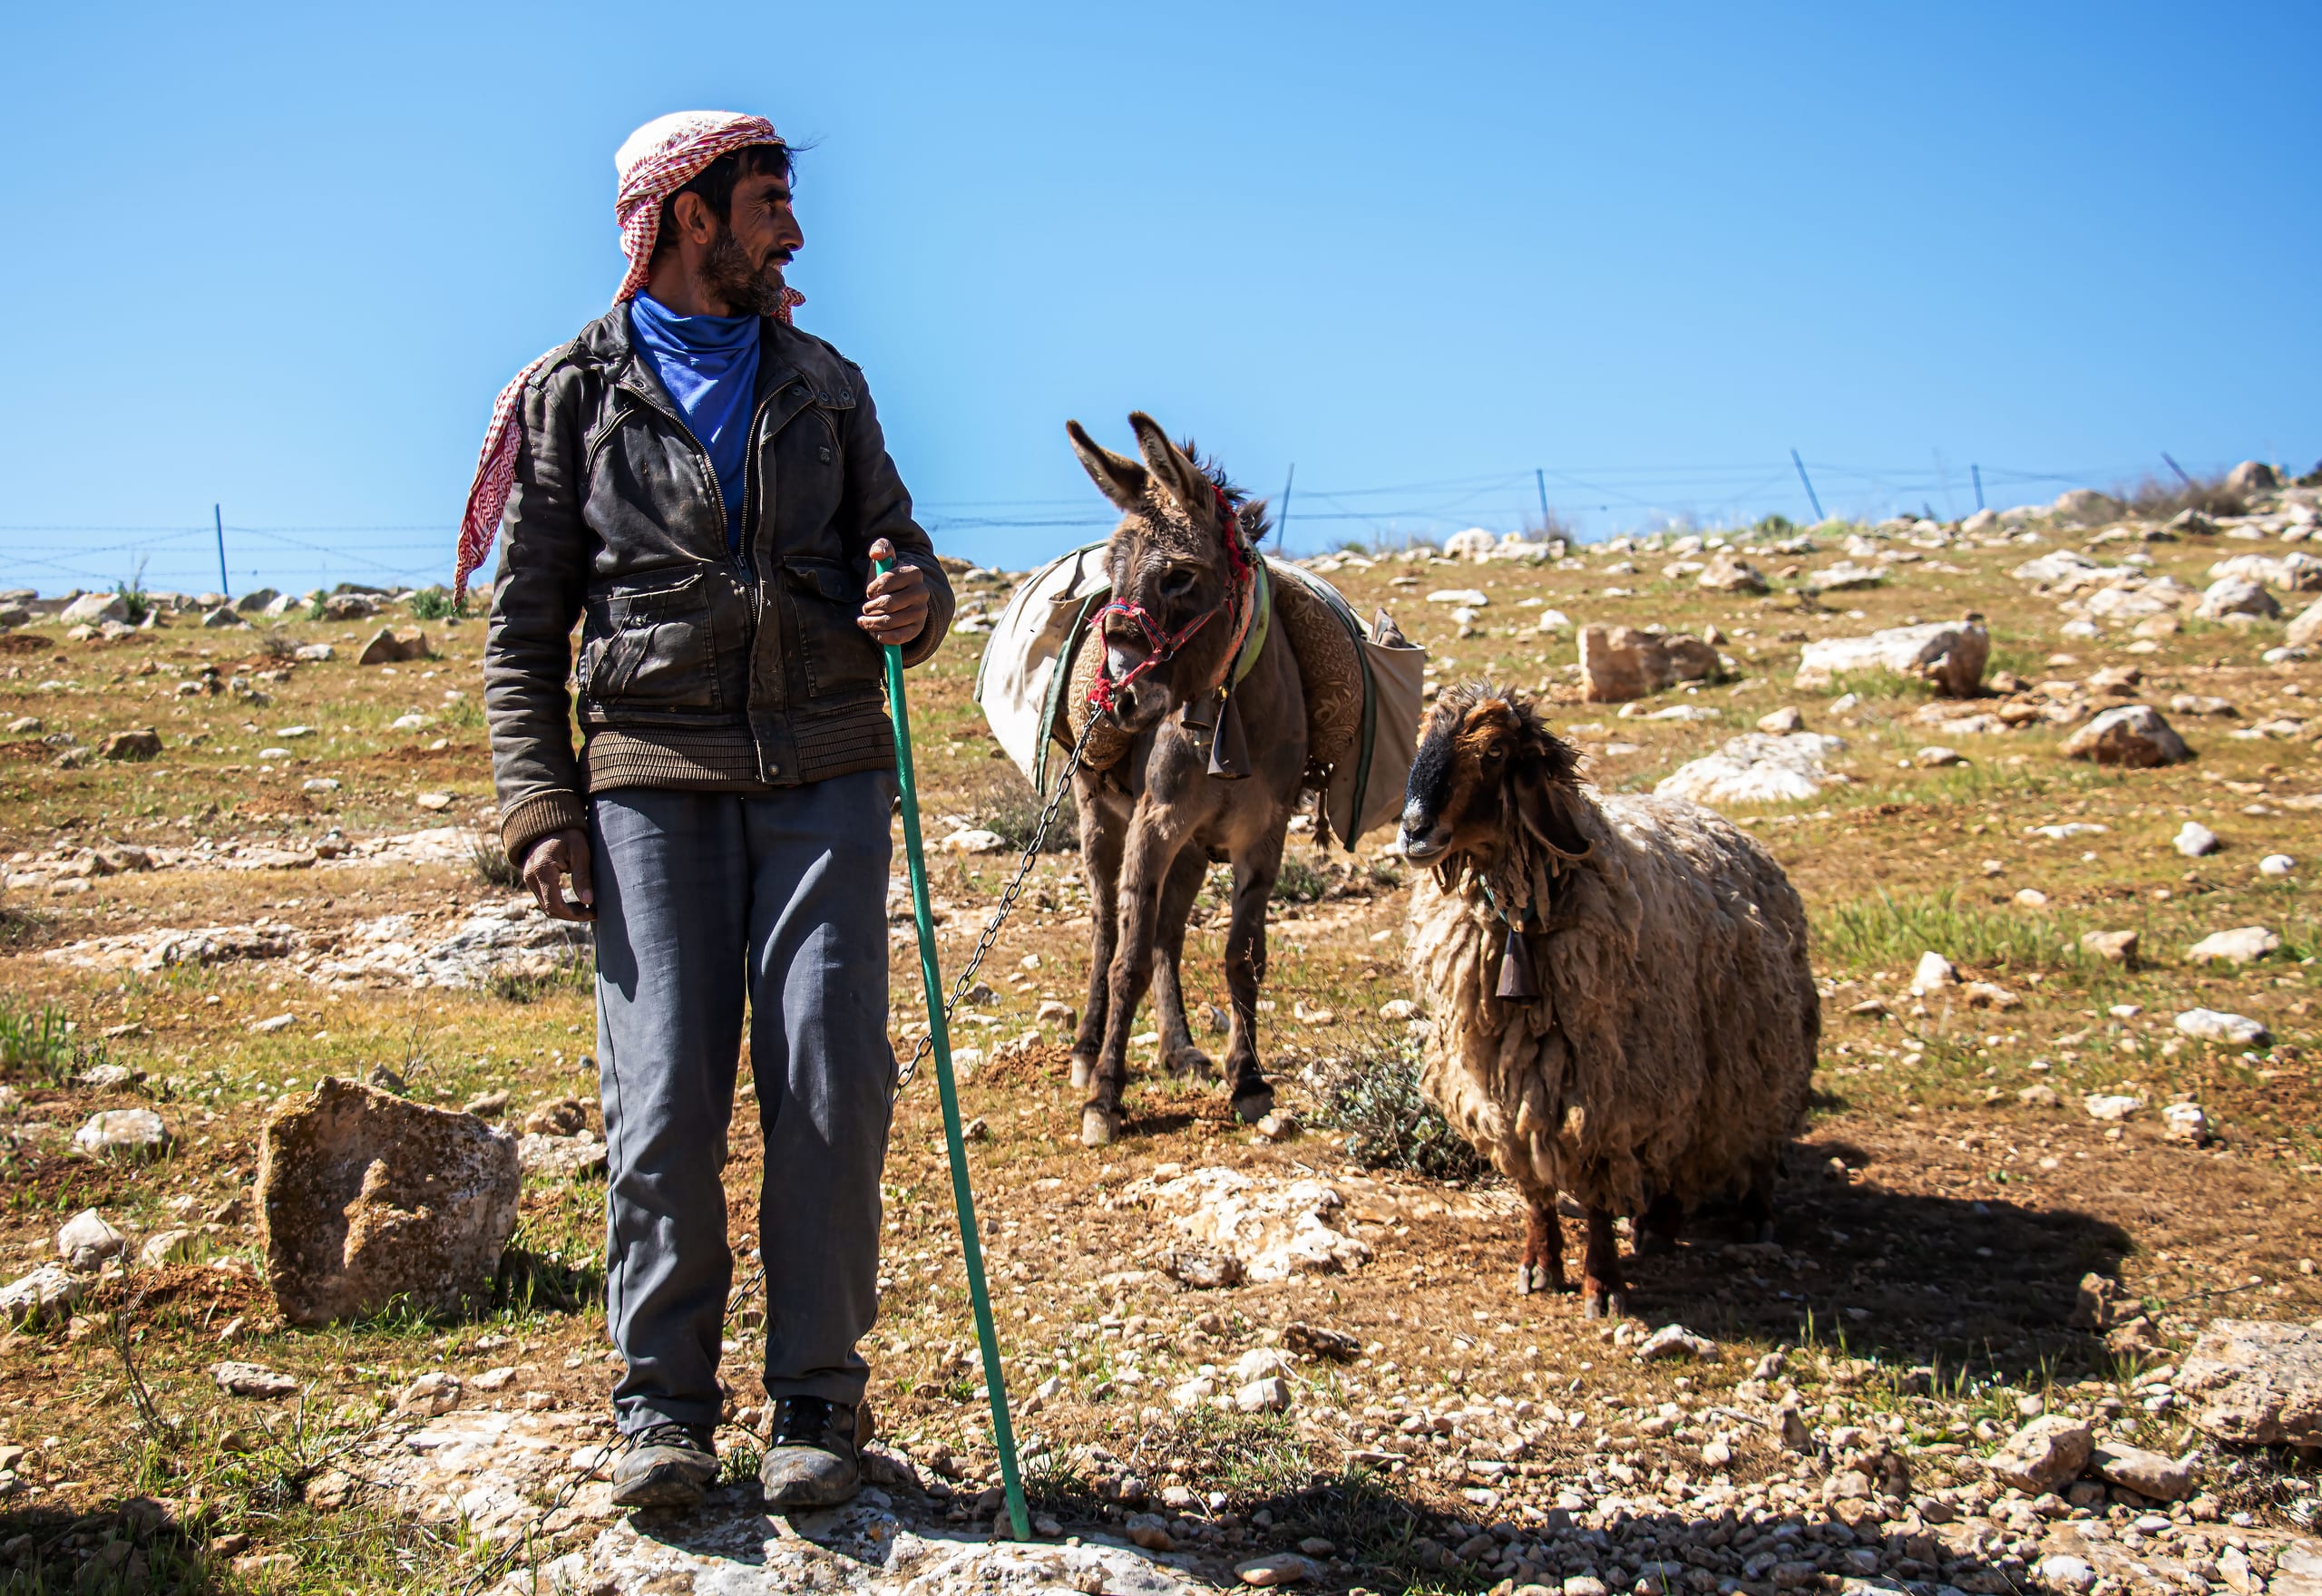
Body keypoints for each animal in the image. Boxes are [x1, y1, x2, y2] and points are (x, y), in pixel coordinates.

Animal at [1397, 682, 1819, 1316]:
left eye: (1494, 753)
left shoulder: (1604, 1090)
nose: (1413, 830)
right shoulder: (1504, 1088)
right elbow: (1536, 1187)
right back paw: (1657, 1226)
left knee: (1752, 1137)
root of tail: (1720, 821)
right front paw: (1540, 1264)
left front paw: (1602, 1284)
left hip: (1749, 1055)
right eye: (1422, 737)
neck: (1523, 919)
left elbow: (1596, 1194)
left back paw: (1753, 1217)